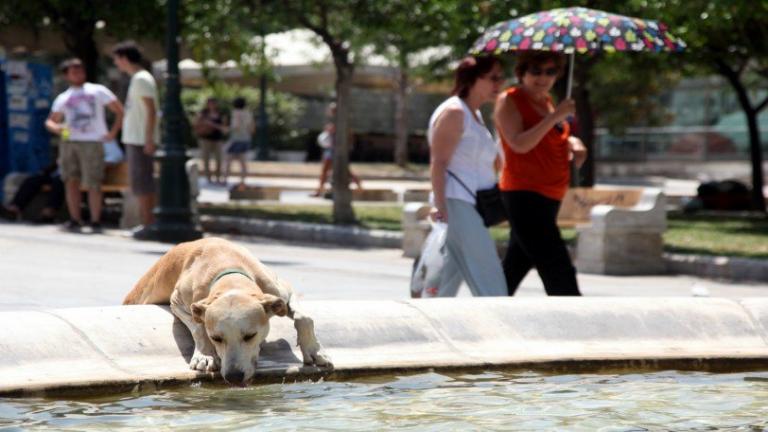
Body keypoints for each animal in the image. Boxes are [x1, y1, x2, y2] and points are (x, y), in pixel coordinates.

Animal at [123, 238, 330, 386]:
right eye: (216, 338)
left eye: (250, 335)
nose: (234, 377)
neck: (230, 274)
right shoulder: (178, 300)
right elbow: (198, 326)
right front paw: (205, 355)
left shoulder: (280, 289)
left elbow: (304, 317)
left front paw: (315, 350)